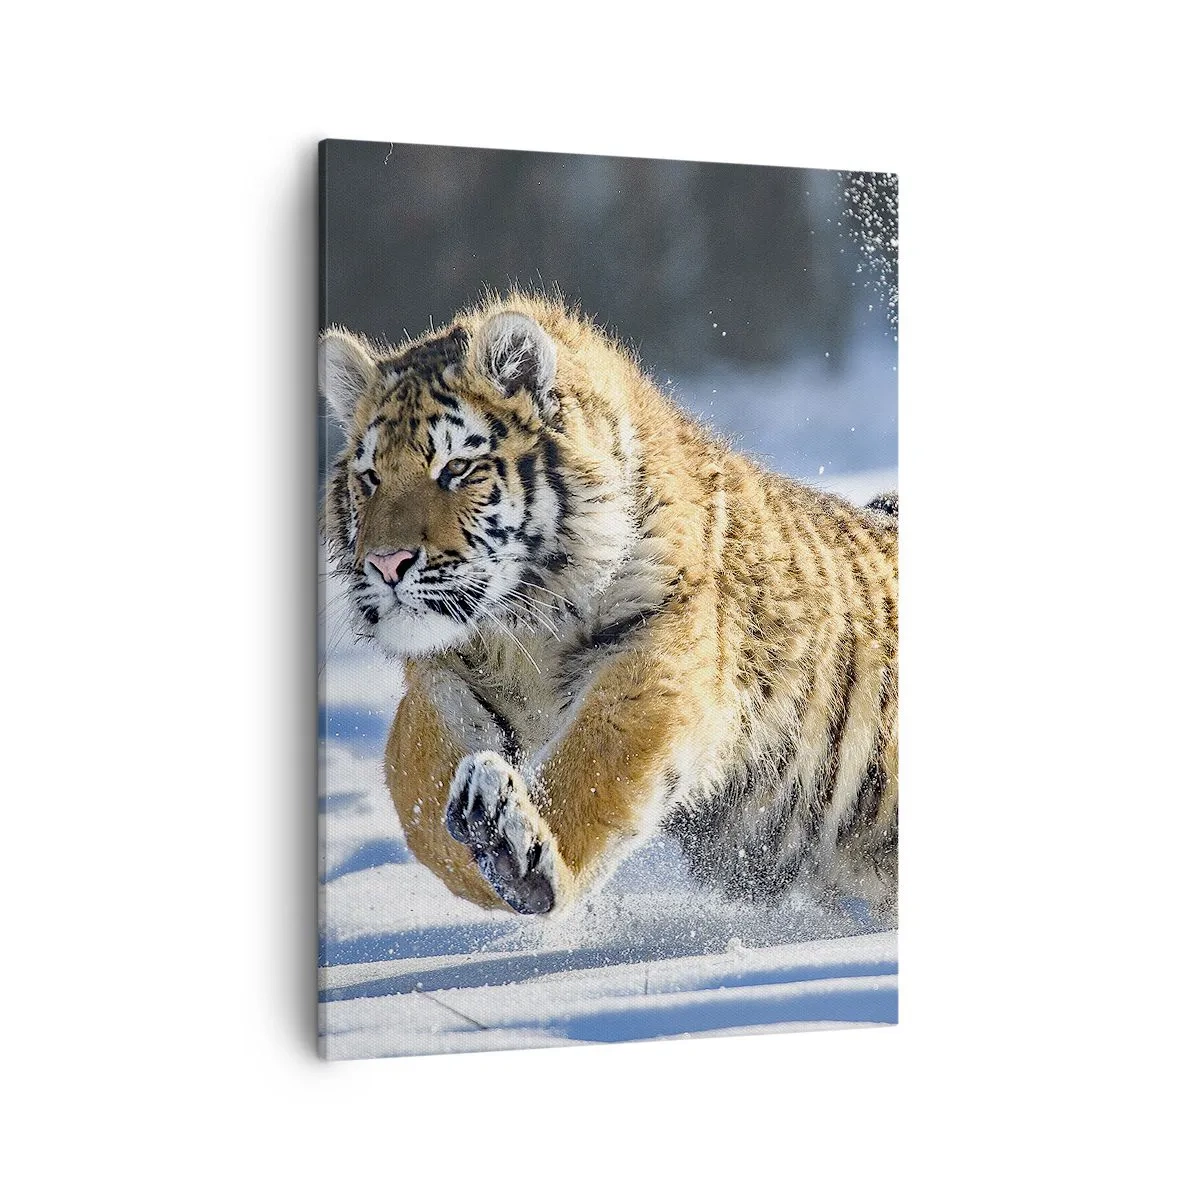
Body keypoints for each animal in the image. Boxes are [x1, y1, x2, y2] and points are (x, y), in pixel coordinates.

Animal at [320, 292, 898, 923]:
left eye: (456, 468)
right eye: (370, 477)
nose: (386, 564)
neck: (519, 622)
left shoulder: (654, 655)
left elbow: (592, 769)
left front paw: (519, 857)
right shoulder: (443, 677)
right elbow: (417, 791)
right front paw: (480, 850)